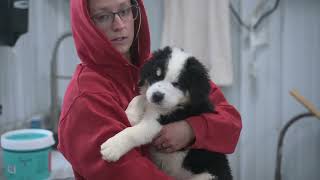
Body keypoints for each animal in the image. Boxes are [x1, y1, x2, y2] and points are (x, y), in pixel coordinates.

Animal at [101, 46, 231, 180]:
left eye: (177, 84)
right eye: (157, 75)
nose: (157, 96)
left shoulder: (160, 123)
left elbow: (135, 132)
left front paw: (112, 147)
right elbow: (141, 97)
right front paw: (130, 115)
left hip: (206, 176)